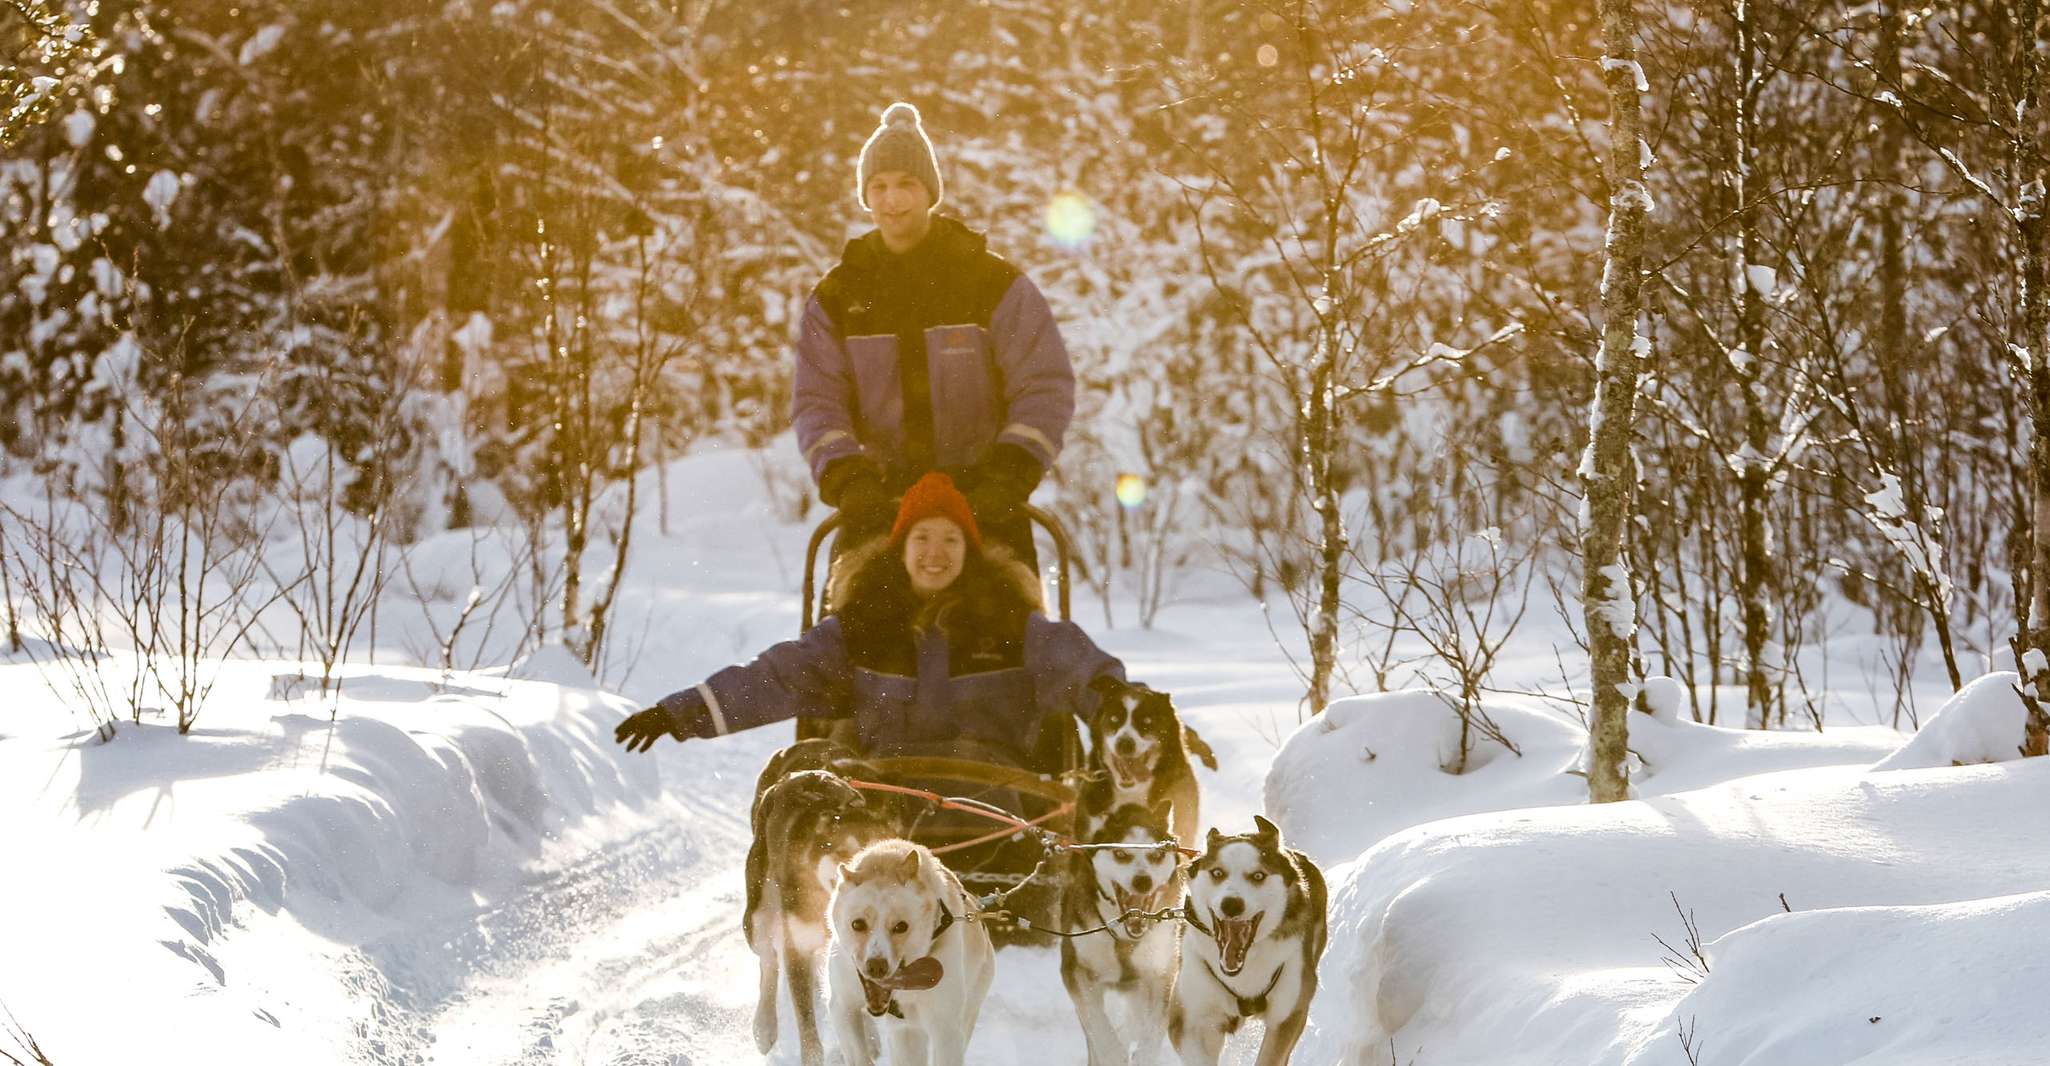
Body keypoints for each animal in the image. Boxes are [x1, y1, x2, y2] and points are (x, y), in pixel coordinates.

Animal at [742, 742, 893, 1066]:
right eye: (845, 856)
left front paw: (869, 1034)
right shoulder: (797, 947)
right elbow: (808, 1027)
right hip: (758, 914)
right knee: (768, 962)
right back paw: (764, 1025)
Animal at [828, 840, 996, 1066]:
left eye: (901, 926)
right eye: (857, 924)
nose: (876, 966)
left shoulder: (946, 1027)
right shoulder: (842, 1005)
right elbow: (859, 1054)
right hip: (906, 1034)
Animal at [1057, 799, 1189, 1066]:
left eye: (1157, 855)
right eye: (1120, 854)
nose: (1142, 881)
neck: (1124, 938)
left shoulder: (1161, 975)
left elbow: (1153, 1030)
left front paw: (1143, 1056)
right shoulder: (1077, 971)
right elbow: (1099, 1027)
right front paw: (1114, 1054)